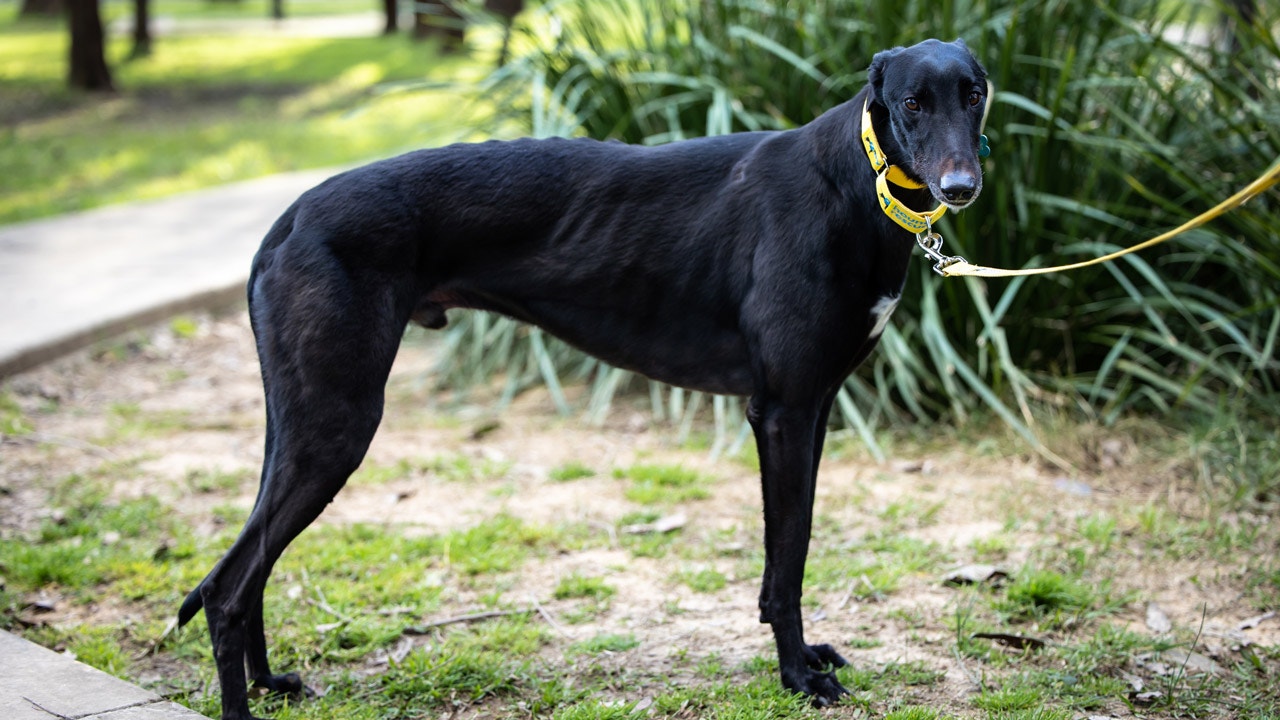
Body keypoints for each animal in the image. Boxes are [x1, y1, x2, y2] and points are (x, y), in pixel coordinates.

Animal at [175, 40, 983, 717]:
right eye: (912, 102)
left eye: (975, 93)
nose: (962, 186)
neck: (853, 179)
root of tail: (287, 220)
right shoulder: (781, 410)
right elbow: (784, 566)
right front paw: (796, 675)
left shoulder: (812, 409)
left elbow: (794, 550)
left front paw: (805, 656)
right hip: (337, 423)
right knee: (226, 586)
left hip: (297, 420)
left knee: (249, 566)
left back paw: (268, 681)